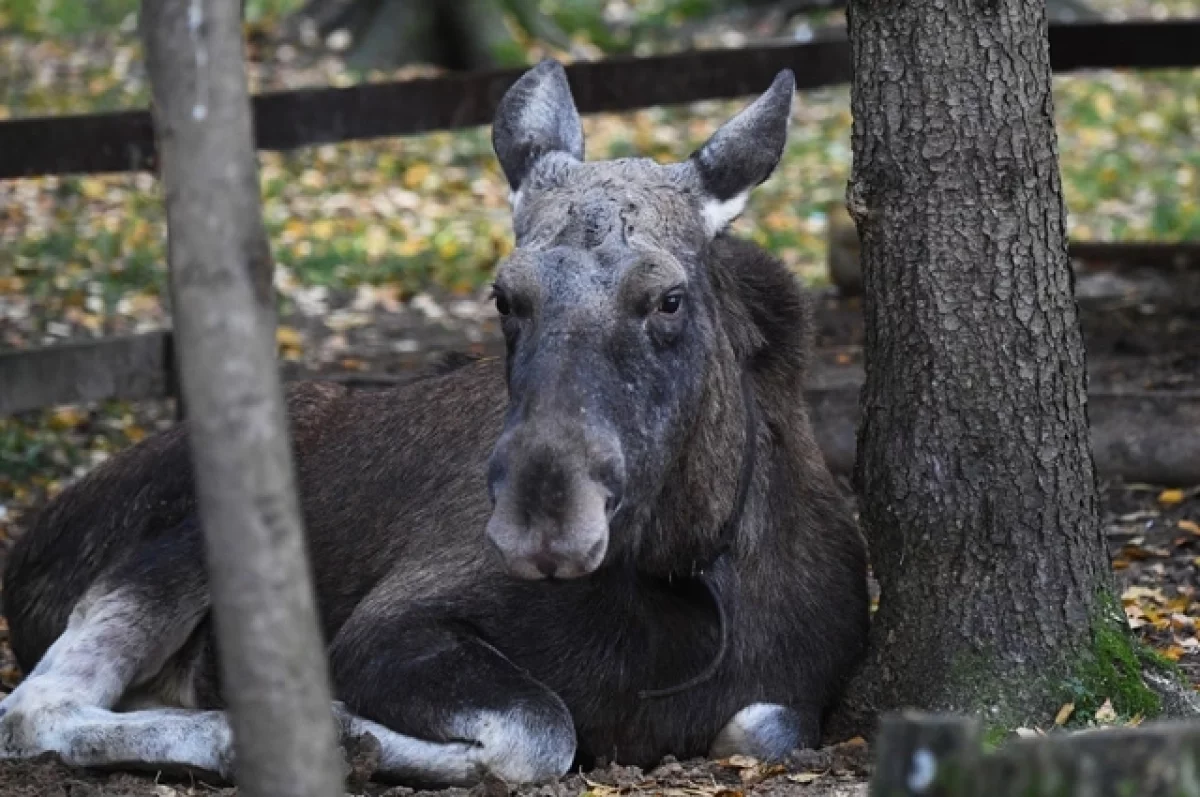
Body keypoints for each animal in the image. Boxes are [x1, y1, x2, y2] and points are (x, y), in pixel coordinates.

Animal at [0, 60, 868, 782]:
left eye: (669, 298)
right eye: (504, 296)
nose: (544, 523)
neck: (692, 563)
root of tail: (27, 543)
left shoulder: (797, 690)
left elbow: (758, 723)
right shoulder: (383, 629)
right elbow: (541, 730)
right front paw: (347, 731)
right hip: (177, 552)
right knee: (32, 707)